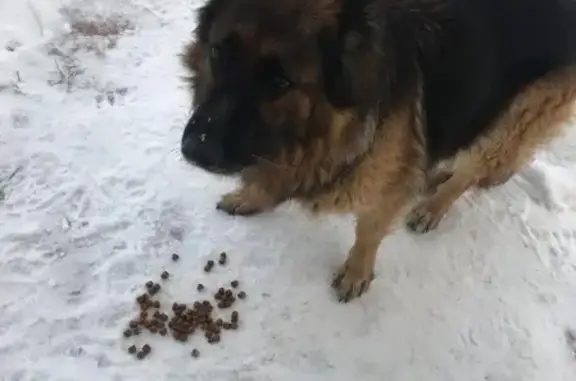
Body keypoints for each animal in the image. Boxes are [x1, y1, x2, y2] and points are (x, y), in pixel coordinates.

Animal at [179, 0, 576, 302]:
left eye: (280, 82)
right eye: (217, 53)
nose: (196, 150)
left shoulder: (386, 188)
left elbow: (369, 230)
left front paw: (356, 273)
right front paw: (251, 195)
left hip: (518, 114)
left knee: (475, 168)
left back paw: (433, 205)